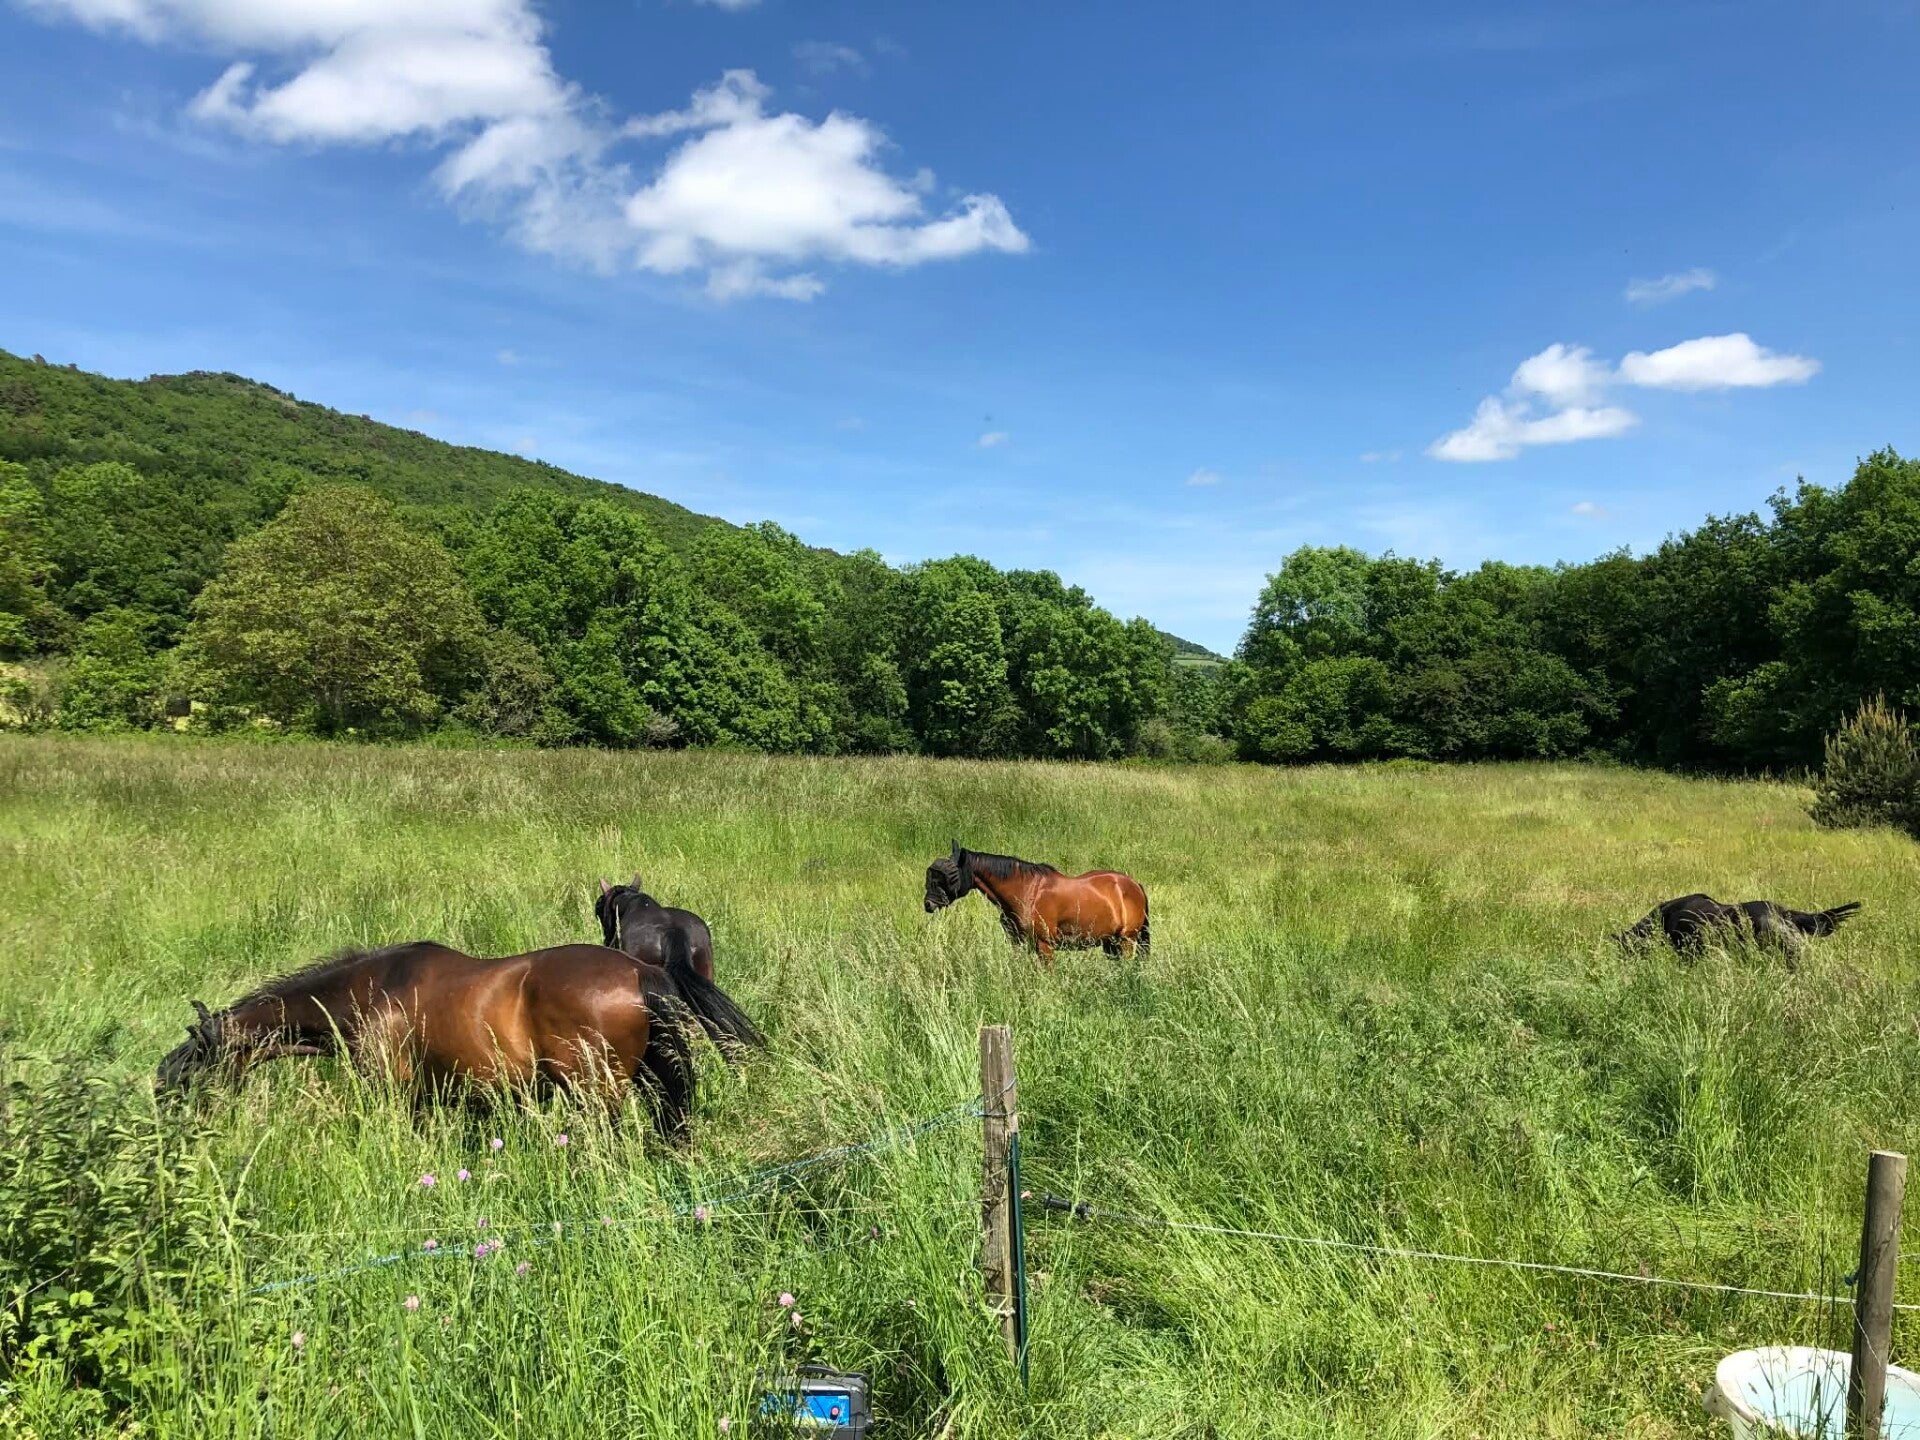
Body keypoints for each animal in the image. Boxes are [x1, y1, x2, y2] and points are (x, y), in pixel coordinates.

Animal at [153, 940, 756, 1140]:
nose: (173, 1132)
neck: (370, 990)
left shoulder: (394, 1094)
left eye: (189, 1076)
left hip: (597, 1095)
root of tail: (639, 971)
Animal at [923, 840, 1149, 964]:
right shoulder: (1020, 944)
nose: (928, 904)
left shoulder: (1044, 946)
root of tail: (1133, 884)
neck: (1026, 892)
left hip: (1126, 940)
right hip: (1110, 943)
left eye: (950, 876)